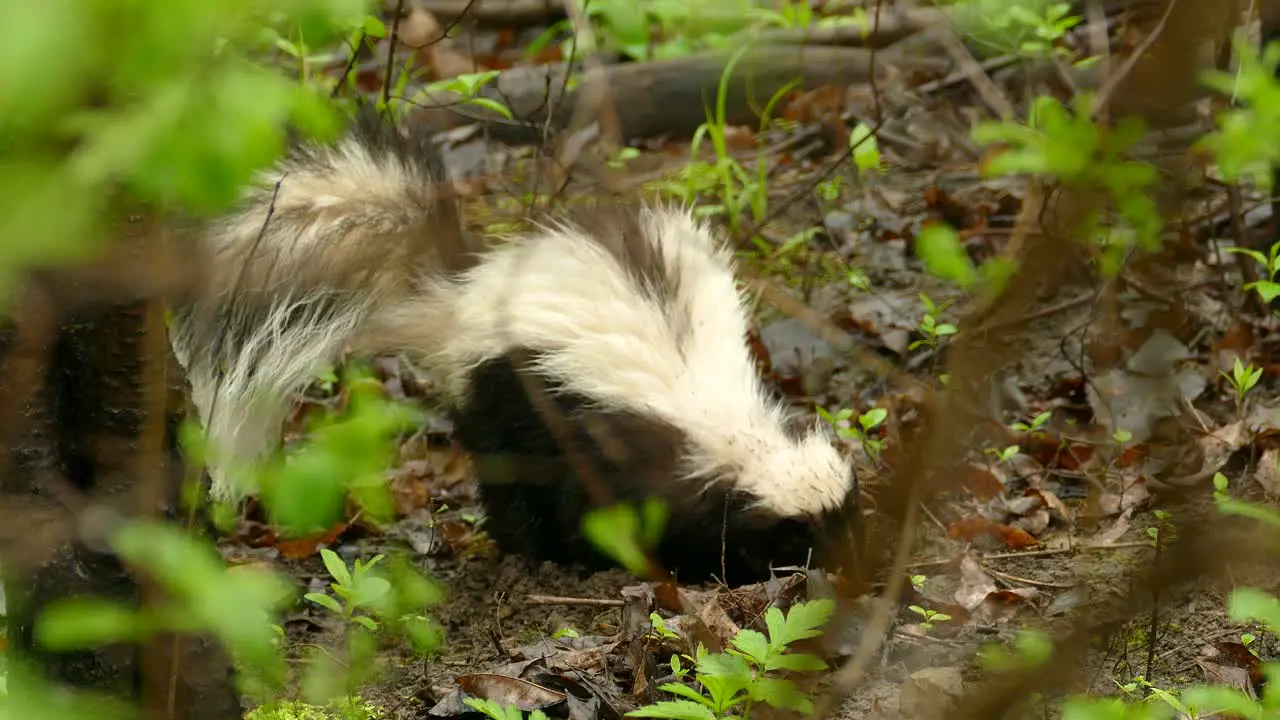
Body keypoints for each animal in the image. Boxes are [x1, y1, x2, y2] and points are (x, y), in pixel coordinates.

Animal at [175, 113, 860, 584]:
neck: (726, 430)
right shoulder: (626, 451)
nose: (852, 568)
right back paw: (530, 552)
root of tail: (461, 294)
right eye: (798, 535)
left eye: (849, 516)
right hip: (501, 396)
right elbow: (619, 514)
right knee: (510, 481)